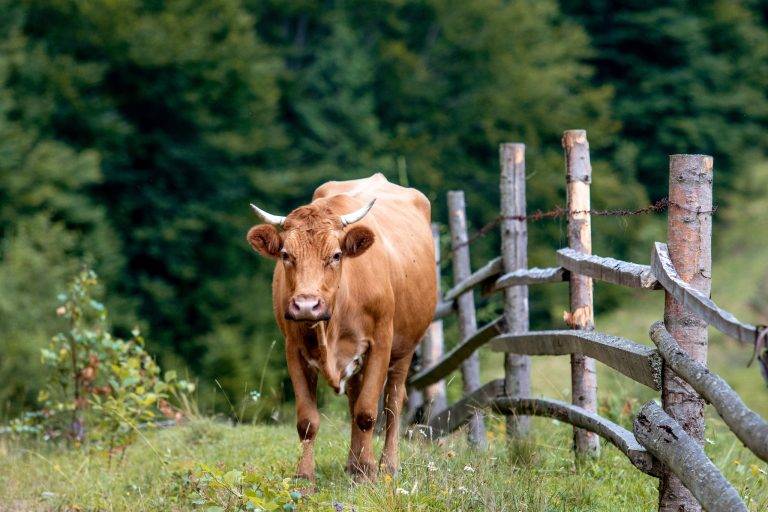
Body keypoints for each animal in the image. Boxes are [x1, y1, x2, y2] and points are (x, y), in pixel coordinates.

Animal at [248, 174, 438, 482]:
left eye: (336, 255)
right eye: (286, 255)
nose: (306, 305)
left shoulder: (380, 343)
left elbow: (367, 412)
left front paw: (368, 473)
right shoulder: (293, 349)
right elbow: (307, 420)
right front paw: (305, 477)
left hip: (405, 349)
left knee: (393, 403)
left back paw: (387, 465)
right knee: (354, 399)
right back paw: (354, 463)